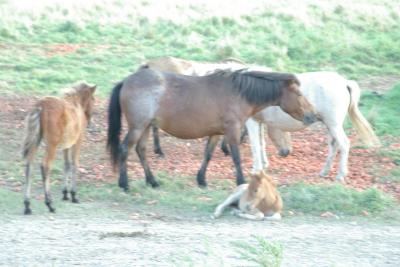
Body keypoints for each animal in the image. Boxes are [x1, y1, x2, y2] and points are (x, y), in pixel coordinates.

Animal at [22, 82, 96, 216]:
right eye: (93, 99)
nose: (90, 120)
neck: (76, 104)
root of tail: (41, 105)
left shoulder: (66, 146)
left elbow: (66, 164)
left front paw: (65, 193)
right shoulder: (77, 142)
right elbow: (74, 164)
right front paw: (73, 195)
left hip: (35, 141)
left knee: (29, 167)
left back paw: (27, 205)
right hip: (52, 144)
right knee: (45, 166)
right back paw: (49, 204)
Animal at [107, 68, 318, 192]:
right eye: (299, 94)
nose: (313, 115)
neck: (239, 93)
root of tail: (126, 81)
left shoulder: (216, 133)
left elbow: (207, 155)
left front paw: (201, 180)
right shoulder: (232, 131)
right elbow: (236, 158)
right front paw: (241, 181)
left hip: (145, 127)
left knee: (140, 151)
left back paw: (152, 181)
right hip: (137, 127)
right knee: (125, 149)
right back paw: (124, 184)